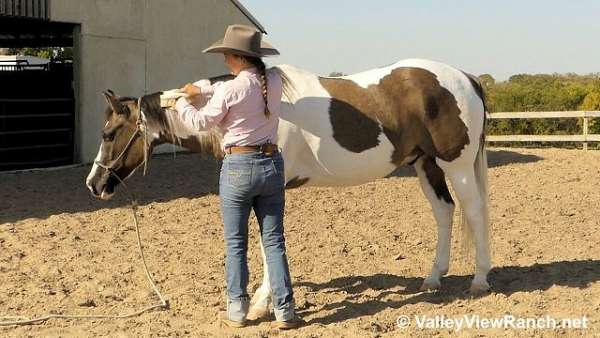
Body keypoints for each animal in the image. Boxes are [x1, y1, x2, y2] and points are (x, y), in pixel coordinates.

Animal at [88, 58, 492, 320]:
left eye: (109, 134)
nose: (94, 184)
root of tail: (467, 78)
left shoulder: (271, 189)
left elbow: (267, 244)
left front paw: (259, 305)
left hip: (456, 166)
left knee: (474, 213)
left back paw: (480, 280)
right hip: (425, 164)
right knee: (445, 212)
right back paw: (433, 279)